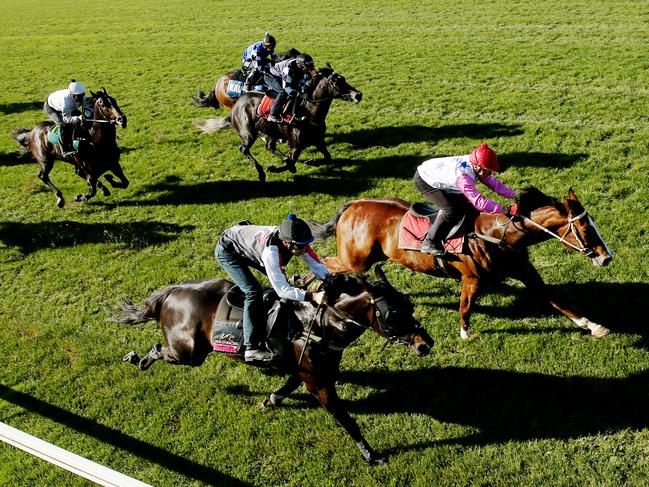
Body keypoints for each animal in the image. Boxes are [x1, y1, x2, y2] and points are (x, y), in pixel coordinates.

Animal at [114, 268, 432, 468]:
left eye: (410, 305)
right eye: (393, 314)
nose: (425, 344)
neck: (320, 323)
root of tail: (172, 293)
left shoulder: (308, 372)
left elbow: (288, 385)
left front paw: (269, 400)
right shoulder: (319, 382)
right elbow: (346, 419)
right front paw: (372, 456)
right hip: (190, 352)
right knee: (159, 350)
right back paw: (137, 358)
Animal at [192, 66, 364, 183]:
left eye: (344, 78)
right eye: (336, 81)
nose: (358, 95)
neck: (309, 113)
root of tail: (236, 107)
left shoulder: (317, 140)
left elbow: (327, 157)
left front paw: (311, 161)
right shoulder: (295, 145)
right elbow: (291, 161)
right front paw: (274, 168)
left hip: (271, 131)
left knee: (269, 146)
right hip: (248, 133)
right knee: (244, 149)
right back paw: (261, 173)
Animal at [306, 187, 616, 340]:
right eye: (585, 229)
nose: (606, 257)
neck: (497, 235)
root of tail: (353, 205)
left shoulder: (526, 272)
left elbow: (555, 299)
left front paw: (593, 326)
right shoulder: (472, 279)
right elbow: (465, 306)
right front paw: (465, 334)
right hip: (355, 260)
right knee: (325, 263)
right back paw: (312, 286)